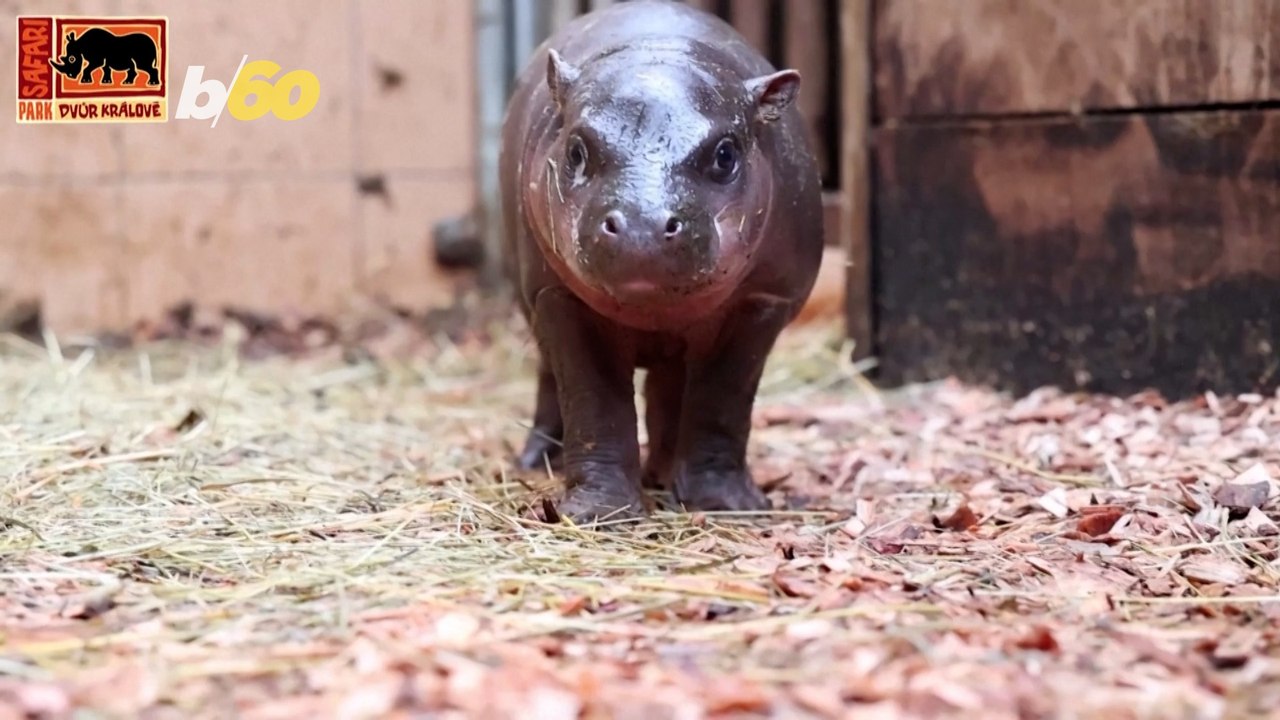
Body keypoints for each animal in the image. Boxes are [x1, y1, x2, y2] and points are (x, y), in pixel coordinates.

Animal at [500, 0, 824, 524]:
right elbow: (594, 403)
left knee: (670, 390)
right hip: (532, 298)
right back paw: (537, 461)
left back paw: (665, 475)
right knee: (551, 380)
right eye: (576, 149)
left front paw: (724, 505)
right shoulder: (558, 297)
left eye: (726, 153)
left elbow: (723, 401)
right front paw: (599, 514)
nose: (641, 225)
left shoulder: (762, 301)